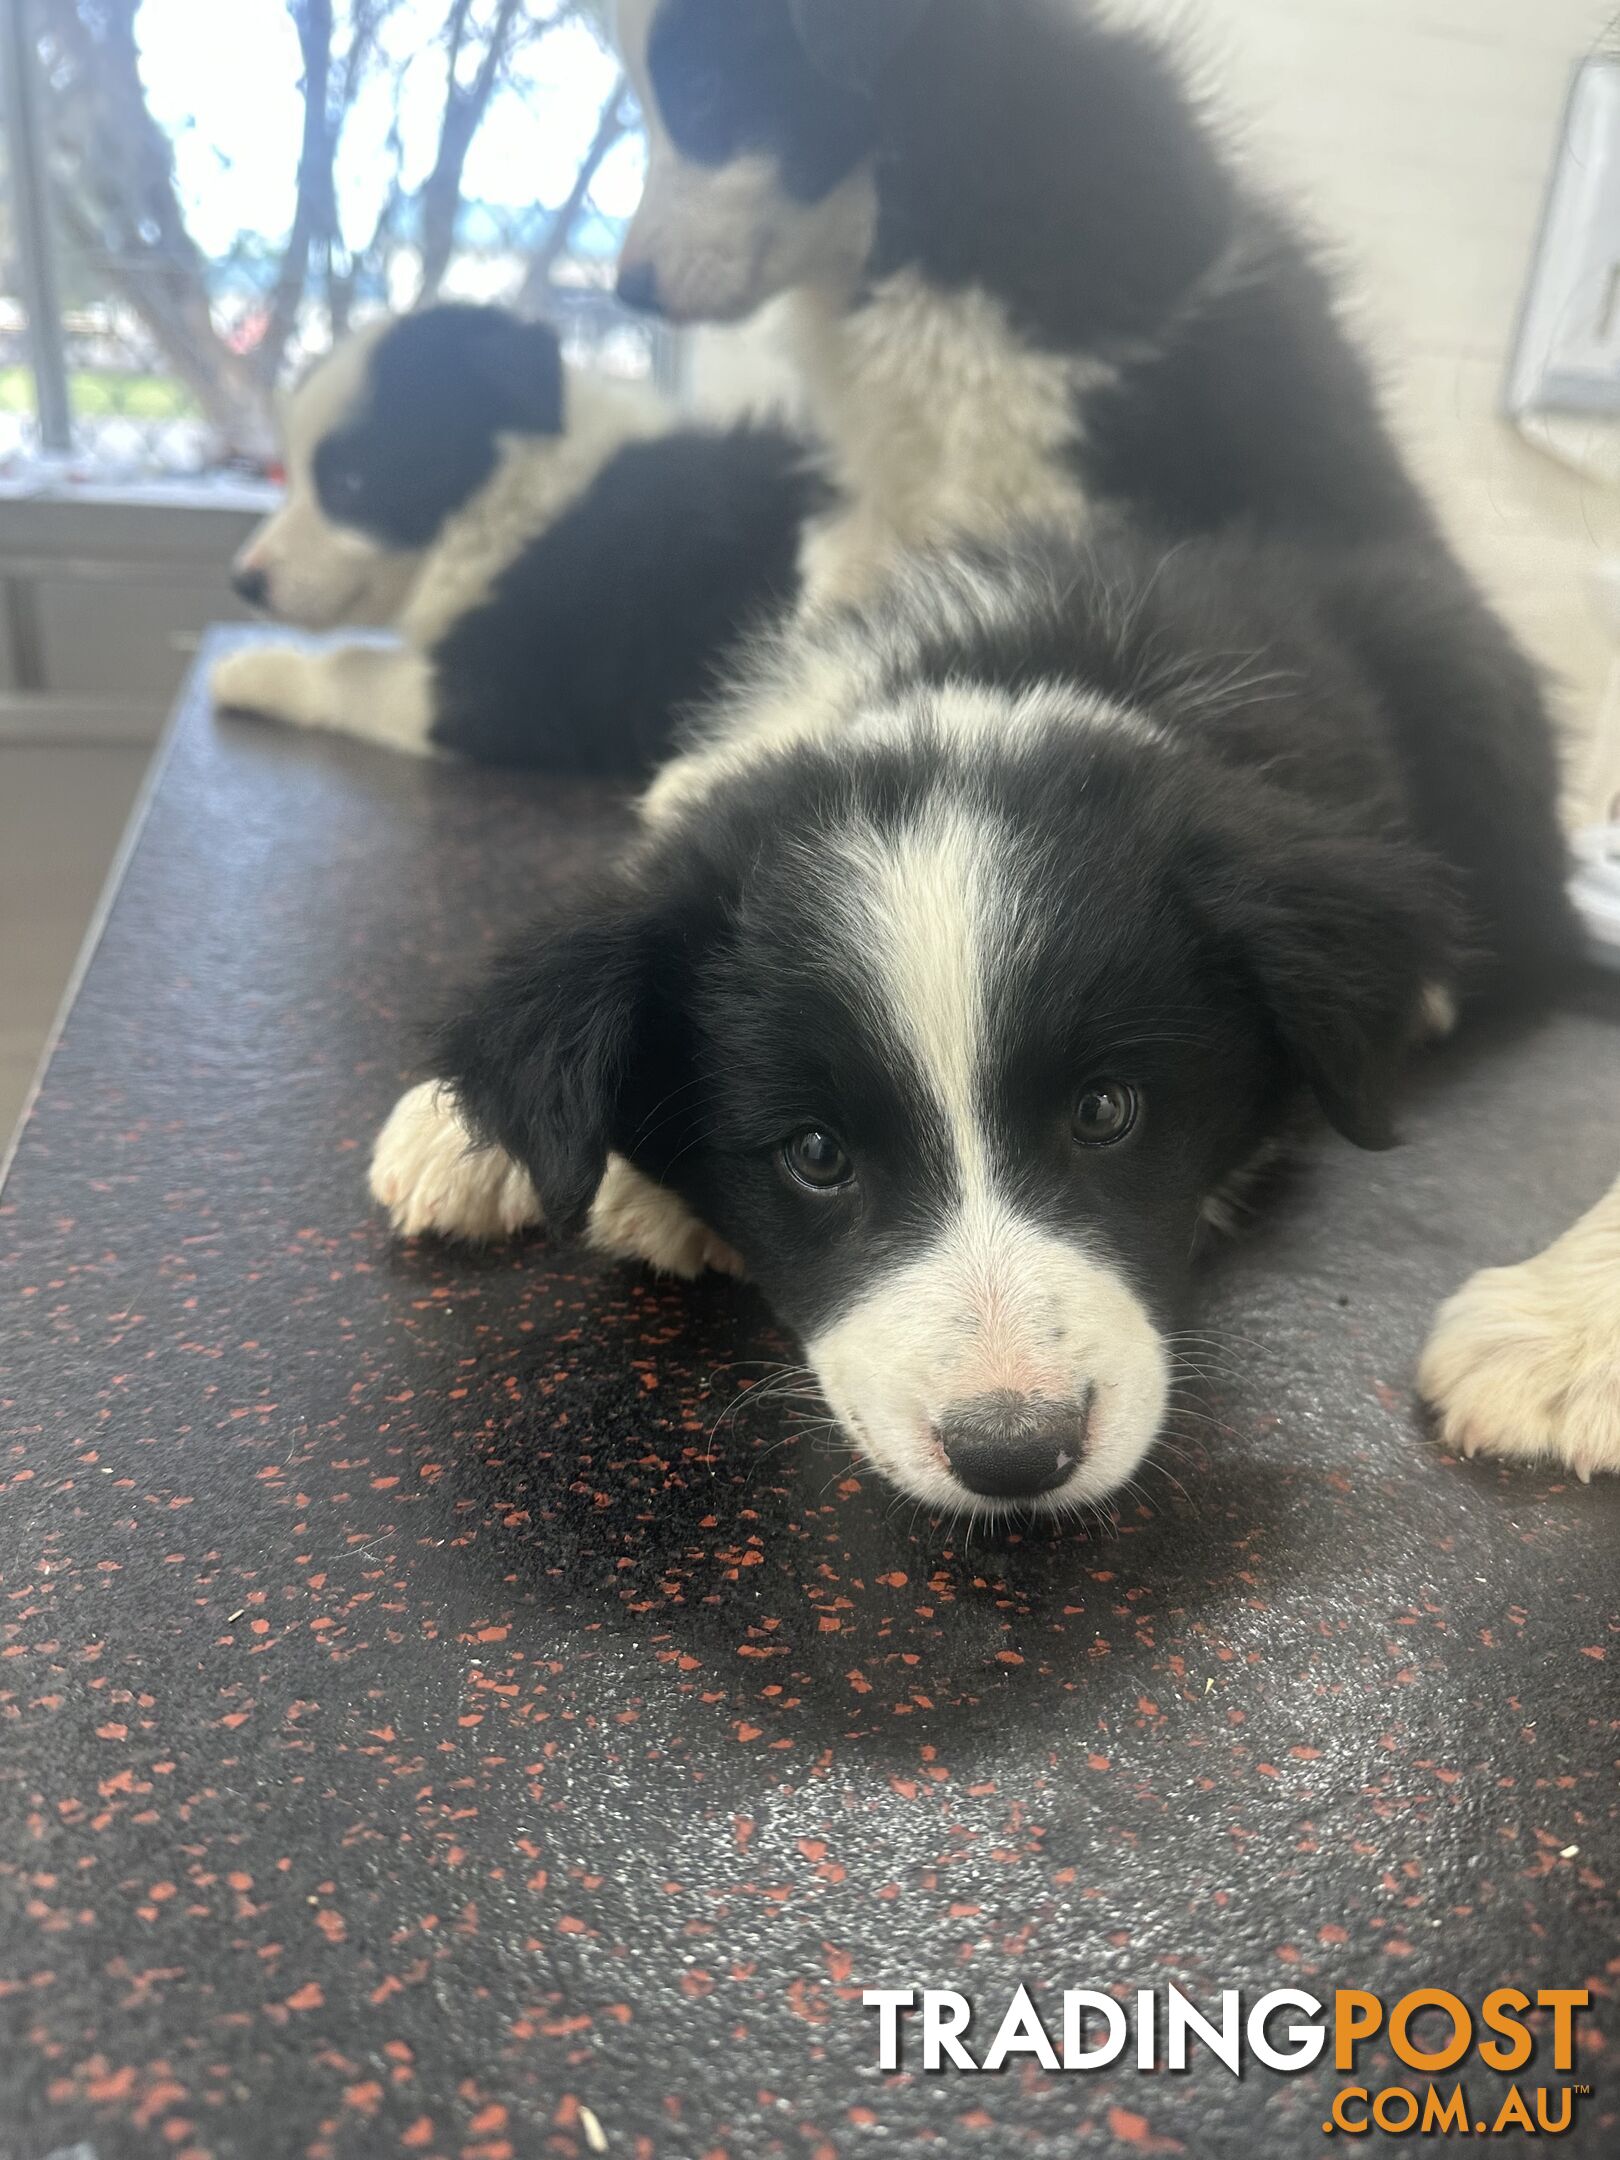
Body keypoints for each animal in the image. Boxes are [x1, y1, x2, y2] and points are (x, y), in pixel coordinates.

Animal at [212, 304, 825, 777]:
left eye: (351, 483)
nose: (243, 582)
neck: (503, 497)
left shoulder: (515, 687)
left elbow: (351, 664)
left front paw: (253, 670)